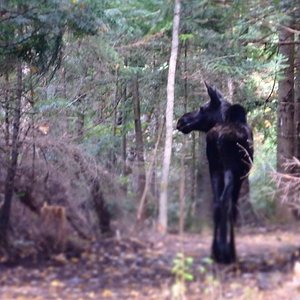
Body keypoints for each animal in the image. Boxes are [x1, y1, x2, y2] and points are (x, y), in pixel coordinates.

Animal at [177, 83, 254, 264]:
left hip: (215, 168)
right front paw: (230, 251)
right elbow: (233, 209)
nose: (181, 121)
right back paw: (228, 253)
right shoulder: (242, 175)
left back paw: (215, 252)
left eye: (202, 108)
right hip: (231, 169)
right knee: (225, 203)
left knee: (217, 204)